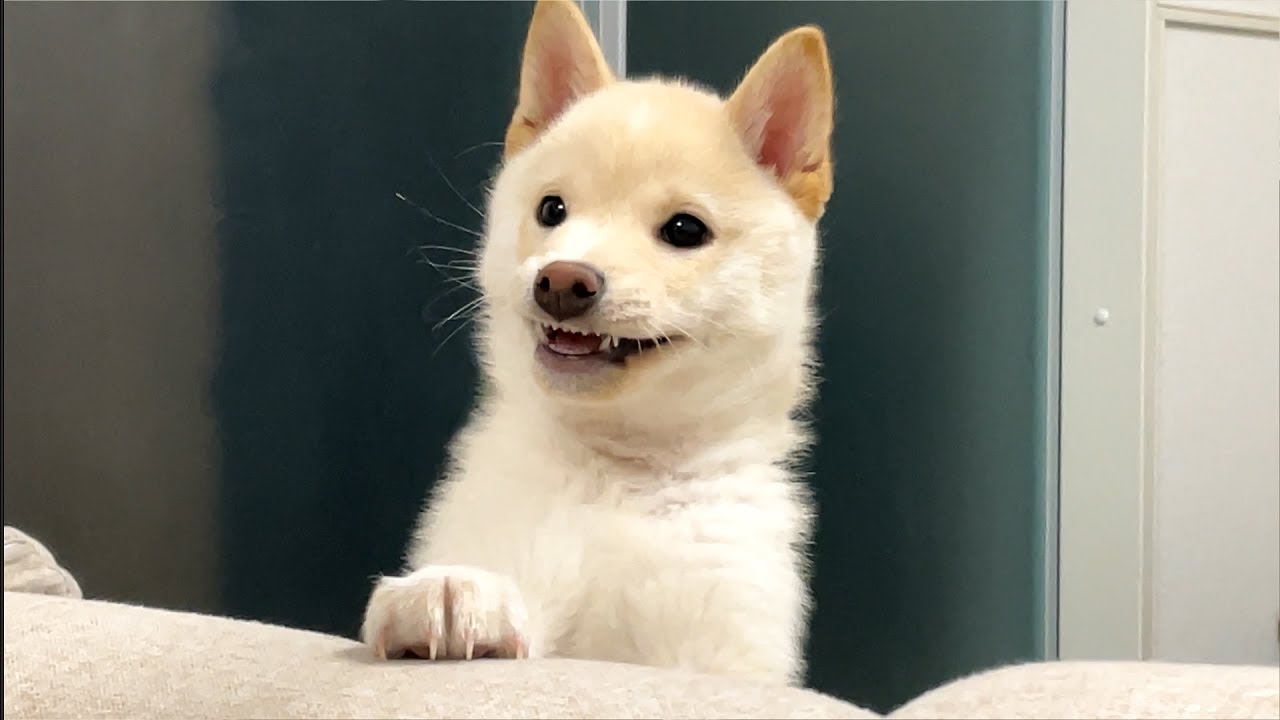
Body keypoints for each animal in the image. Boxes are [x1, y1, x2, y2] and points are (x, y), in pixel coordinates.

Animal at [362, 0, 835, 686]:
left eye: (685, 230)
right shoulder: (514, 540)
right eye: (552, 210)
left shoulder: (720, 642)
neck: (619, 475)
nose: (562, 281)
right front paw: (455, 587)